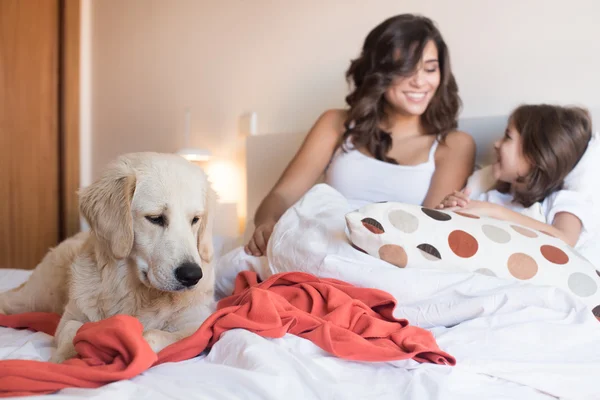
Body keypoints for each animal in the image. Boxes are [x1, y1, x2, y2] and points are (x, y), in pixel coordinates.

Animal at [0, 152, 217, 362]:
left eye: (195, 219)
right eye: (155, 218)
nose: (192, 276)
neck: (135, 292)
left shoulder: (197, 326)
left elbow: (154, 334)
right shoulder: (70, 317)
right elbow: (74, 331)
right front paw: (67, 358)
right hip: (35, 298)